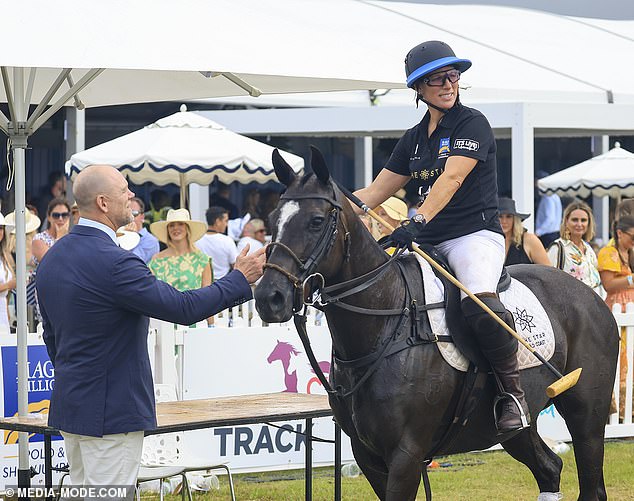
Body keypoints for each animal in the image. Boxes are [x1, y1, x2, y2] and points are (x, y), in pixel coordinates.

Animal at [253, 147, 616, 500]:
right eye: (272, 220)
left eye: (316, 221)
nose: (270, 297)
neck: (384, 325)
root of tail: (592, 294)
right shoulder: (366, 454)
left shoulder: (407, 454)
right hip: (512, 429)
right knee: (549, 468)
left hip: (586, 417)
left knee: (591, 484)